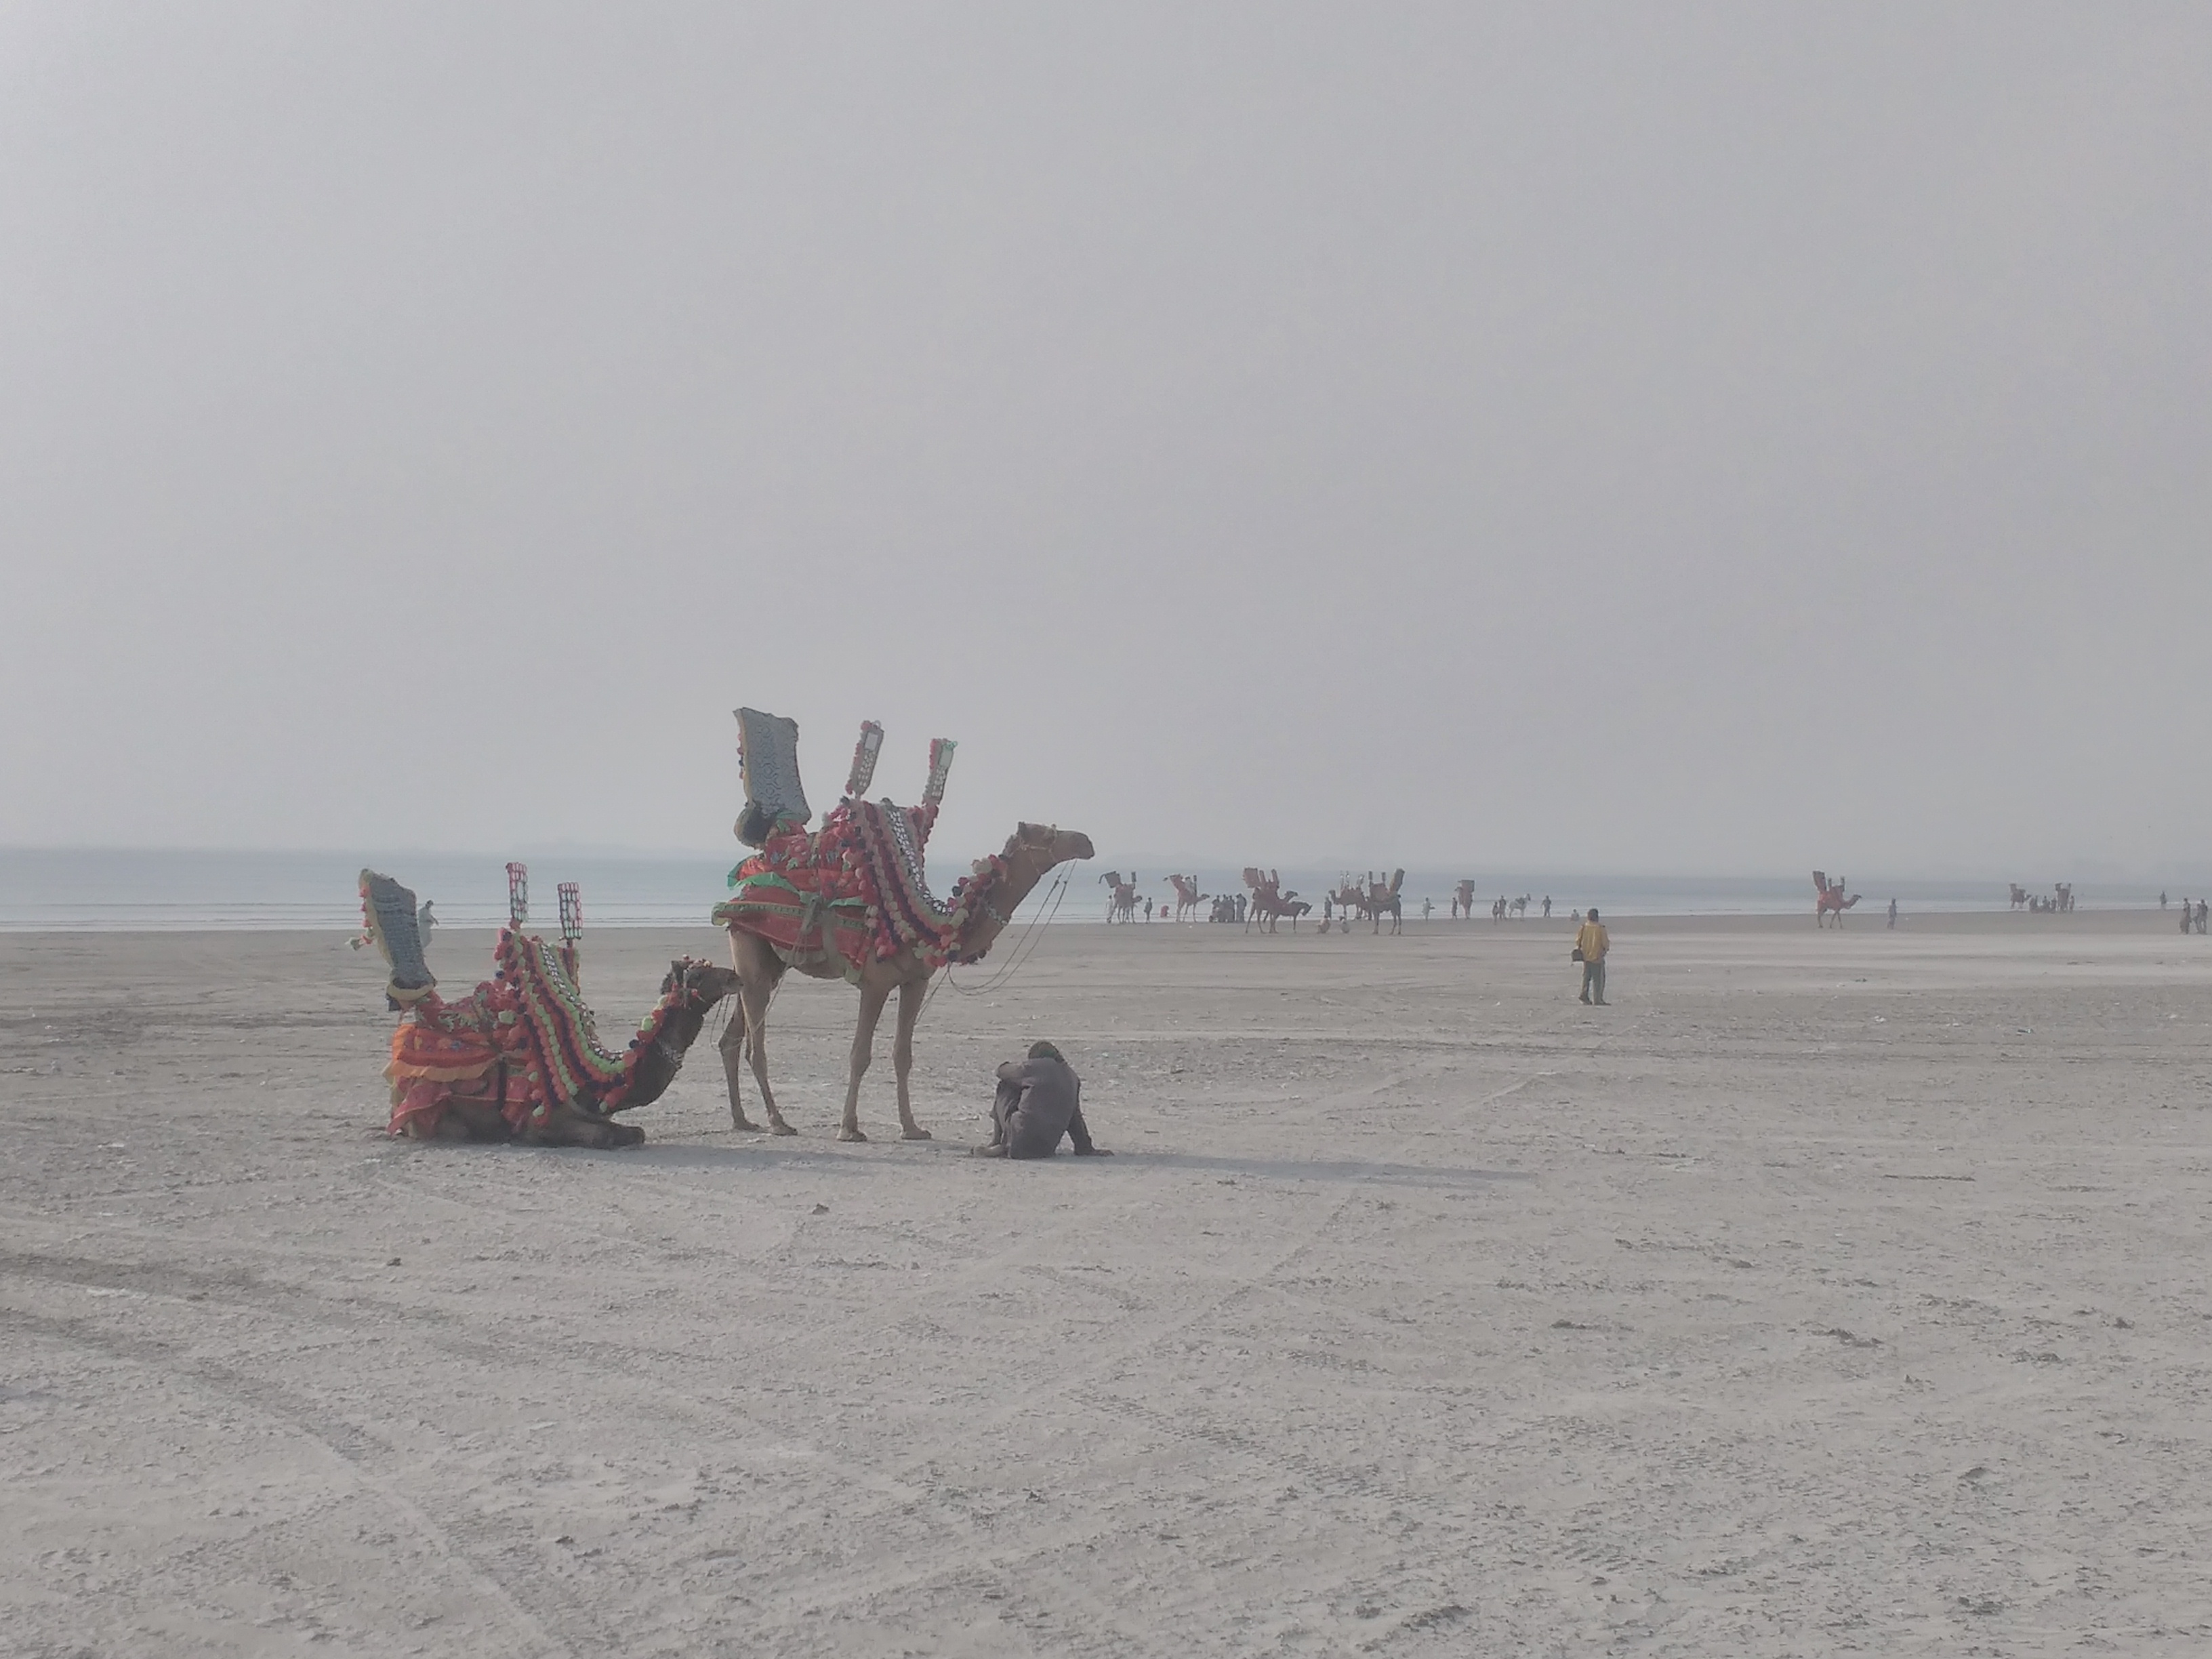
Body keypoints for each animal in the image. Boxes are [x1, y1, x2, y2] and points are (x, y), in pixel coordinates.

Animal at [719, 821, 1094, 1142]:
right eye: (1049, 834)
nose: (1086, 842)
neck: (928, 927)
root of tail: (739, 893)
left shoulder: (916, 983)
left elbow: (903, 1055)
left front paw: (912, 1128)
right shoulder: (874, 984)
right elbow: (860, 1054)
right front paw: (849, 1129)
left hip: (768, 965)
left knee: (731, 1039)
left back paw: (742, 1120)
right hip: (751, 952)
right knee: (755, 1047)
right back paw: (778, 1122)